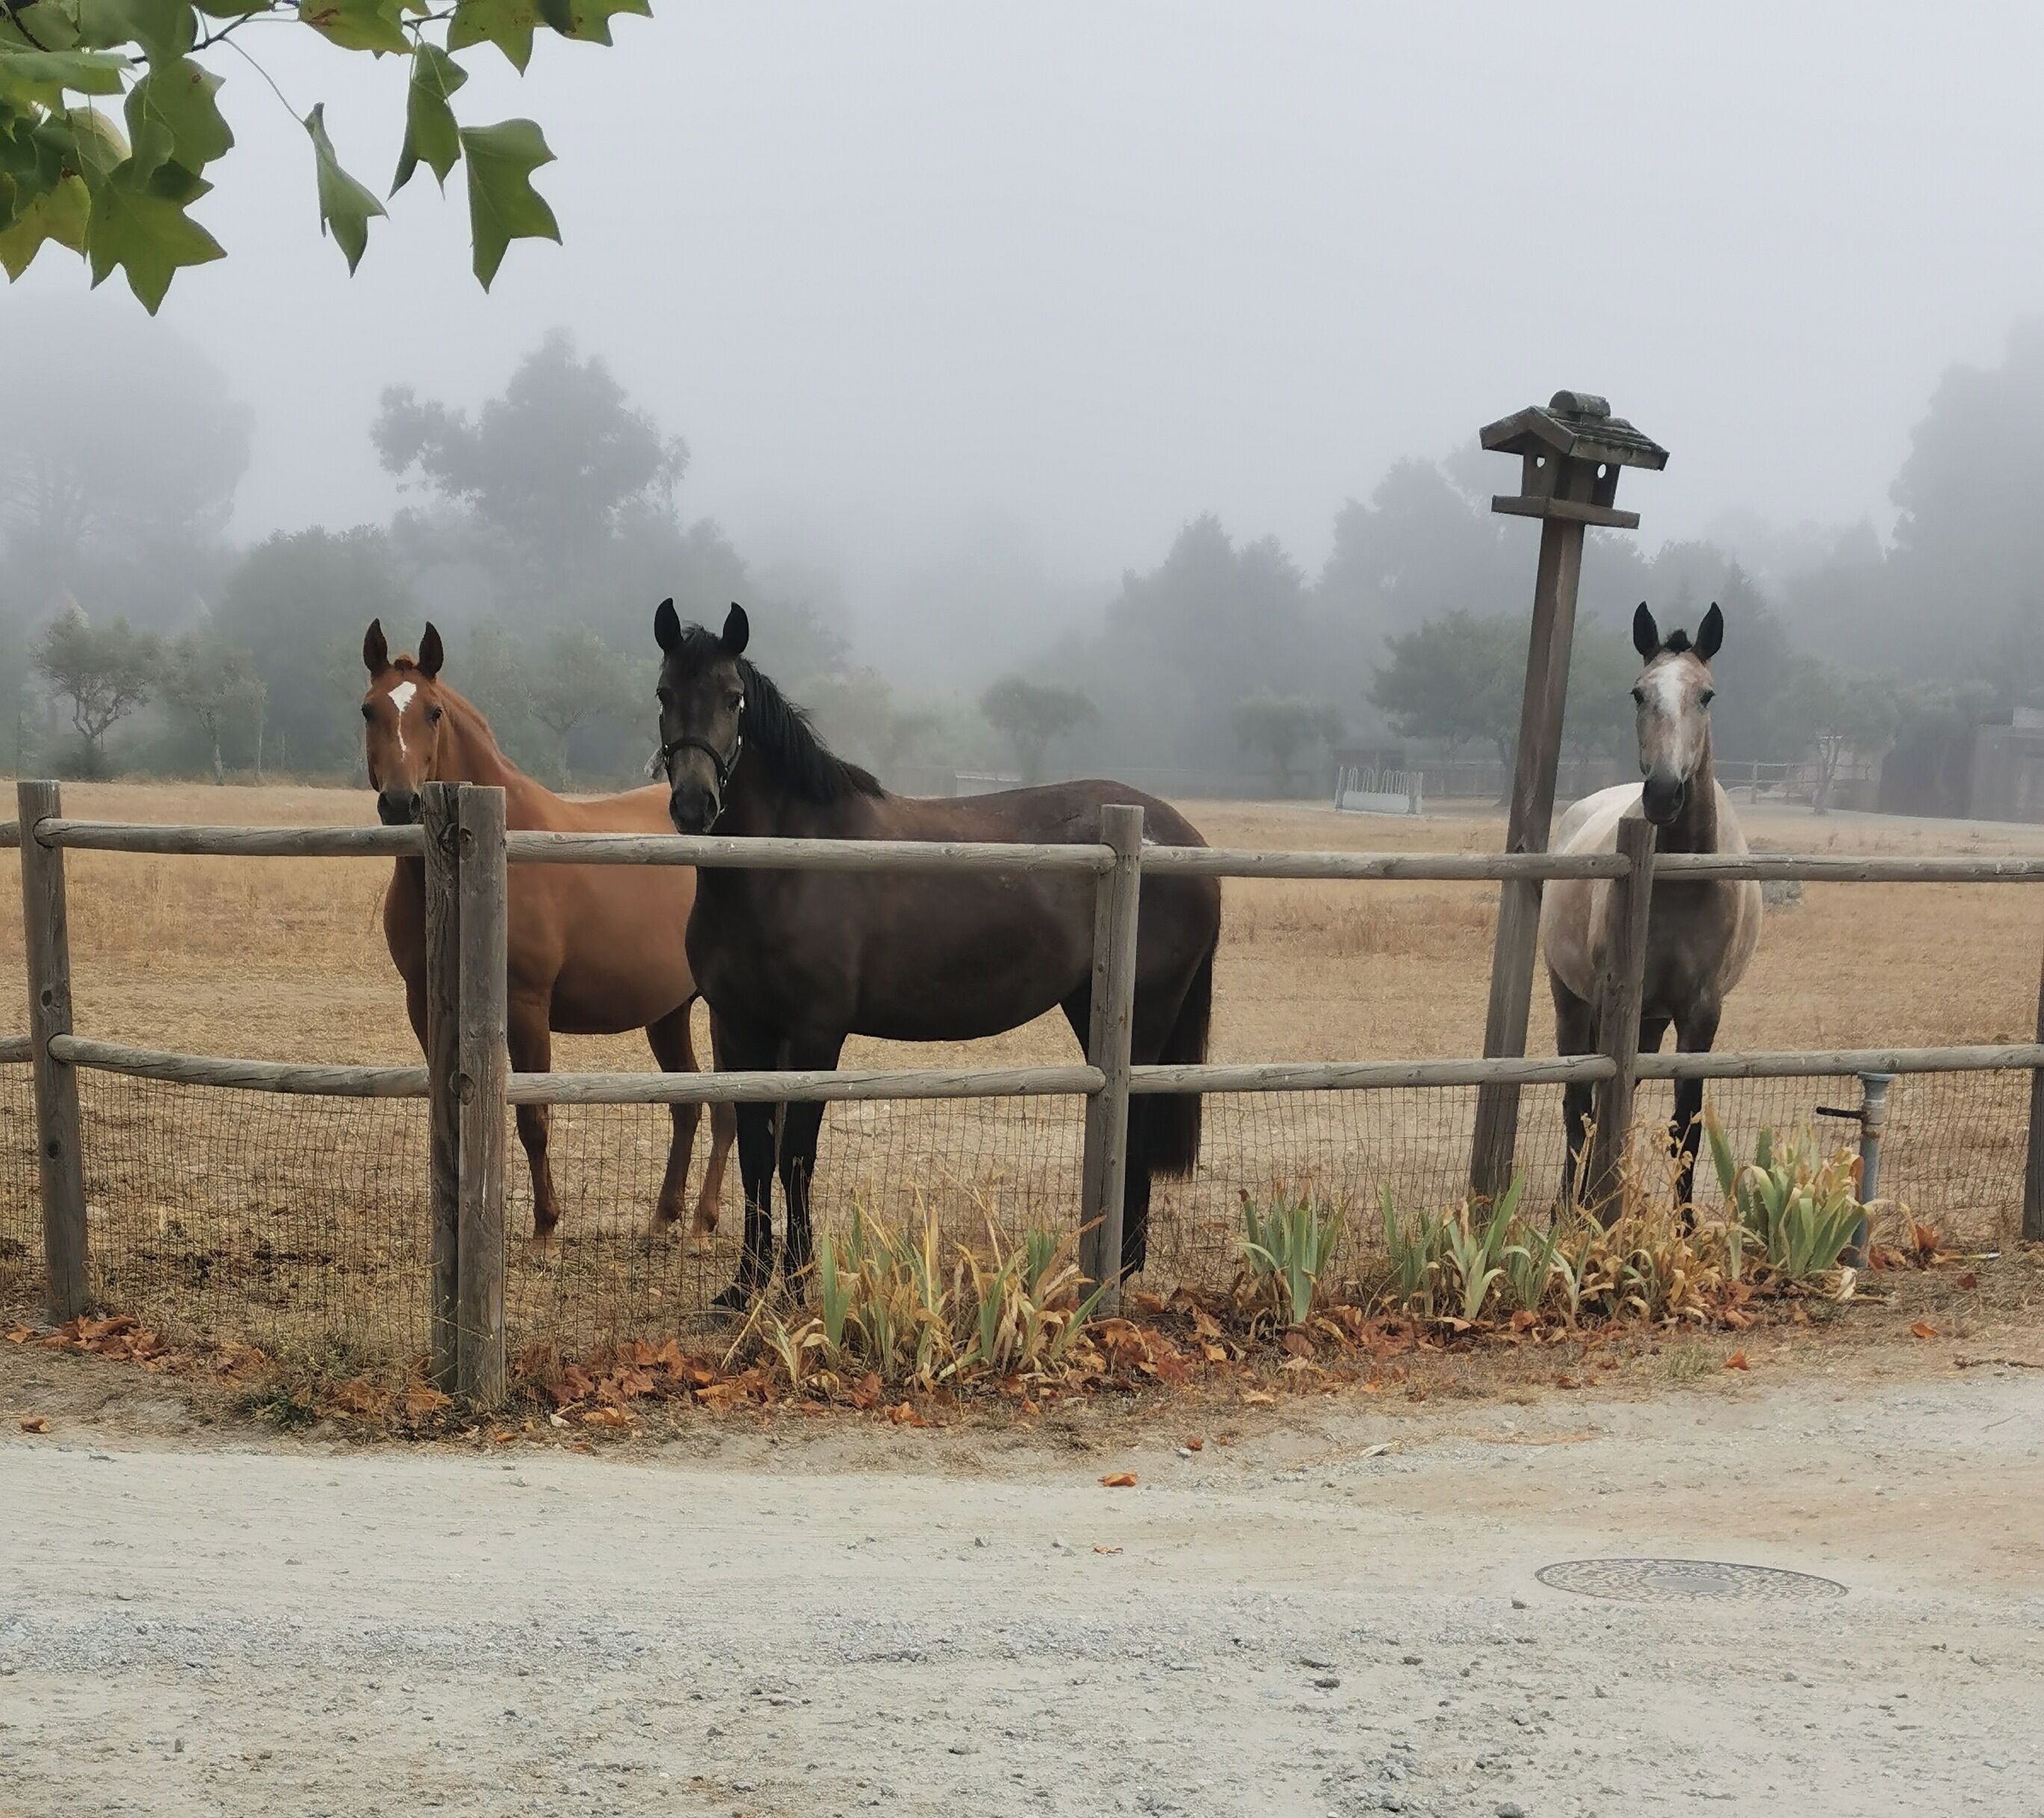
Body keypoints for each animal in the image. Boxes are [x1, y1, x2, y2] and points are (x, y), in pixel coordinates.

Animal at [360, 619, 735, 1242]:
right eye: (369, 709)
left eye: (433, 712)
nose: (398, 801)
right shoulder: (425, 1006)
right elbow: (446, 1116)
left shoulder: (526, 1007)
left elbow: (533, 1118)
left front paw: (545, 1226)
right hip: (668, 1011)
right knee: (688, 1104)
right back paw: (664, 1215)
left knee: (728, 1105)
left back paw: (704, 1219)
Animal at [649, 600, 1223, 1308]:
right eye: (664, 694)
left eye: (734, 698)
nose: (694, 802)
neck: (784, 866)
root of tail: (1183, 838)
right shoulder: (737, 1026)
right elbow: (756, 1154)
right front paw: (745, 1286)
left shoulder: (815, 1032)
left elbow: (795, 1157)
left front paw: (798, 1284)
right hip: (1090, 1005)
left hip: (1144, 1015)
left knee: (1134, 1126)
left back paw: (1113, 1273)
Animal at [1540, 602, 1763, 1212]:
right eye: (1638, 693)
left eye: (1707, 695)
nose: (1664, 793)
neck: (1682, 881)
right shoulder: (1613, 1001)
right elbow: (1596, 1108)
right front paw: (1593, 1216)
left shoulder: (1701, 1011)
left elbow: (1684, 1128)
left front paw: (1683, 1227)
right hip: (1572, 1001)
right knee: (1578, 1104)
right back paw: (1571, 1207)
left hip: (1652, 1019)